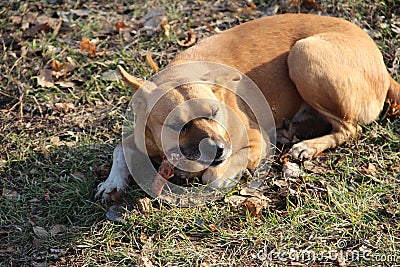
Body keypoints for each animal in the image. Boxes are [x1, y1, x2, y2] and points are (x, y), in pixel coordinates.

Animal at [94, 13, 400, 202]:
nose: (217, 150)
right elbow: (119, 150)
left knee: (349, 128)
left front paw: (219, 175)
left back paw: (307, 146)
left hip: (304, 54)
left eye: (215, 112)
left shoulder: (255, 141)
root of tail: (384, 70)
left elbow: (214, 173)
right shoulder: (139, 137)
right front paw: (112, 183)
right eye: (175, 125)